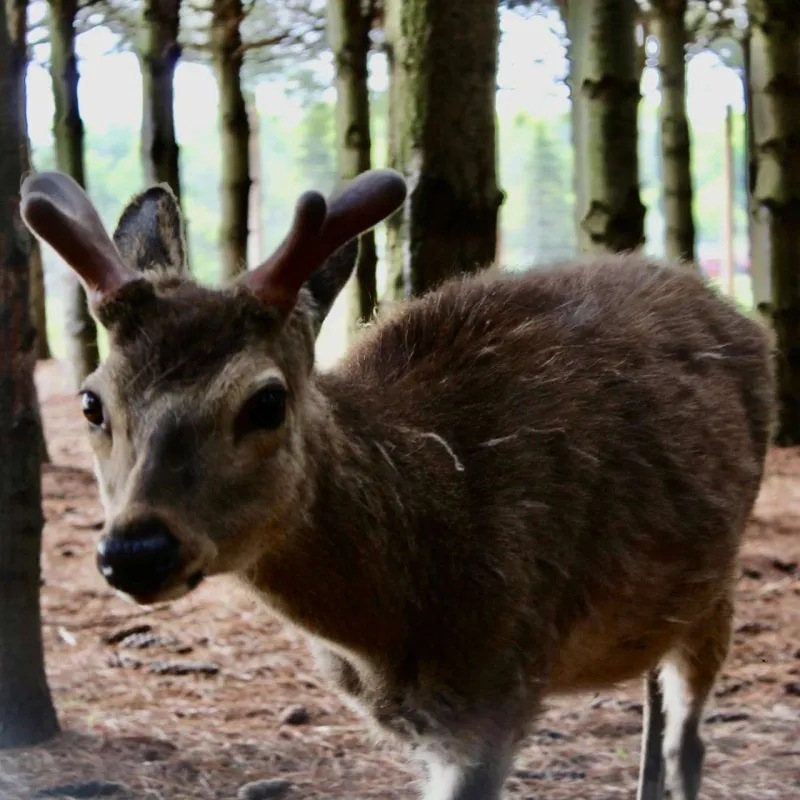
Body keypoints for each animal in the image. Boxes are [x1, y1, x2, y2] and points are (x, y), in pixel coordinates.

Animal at [19, 168, 775, 800]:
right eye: (92, 402)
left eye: (266, 400)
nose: (136, 550)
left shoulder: (498, 689)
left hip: (719, 583)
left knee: (688, 738)